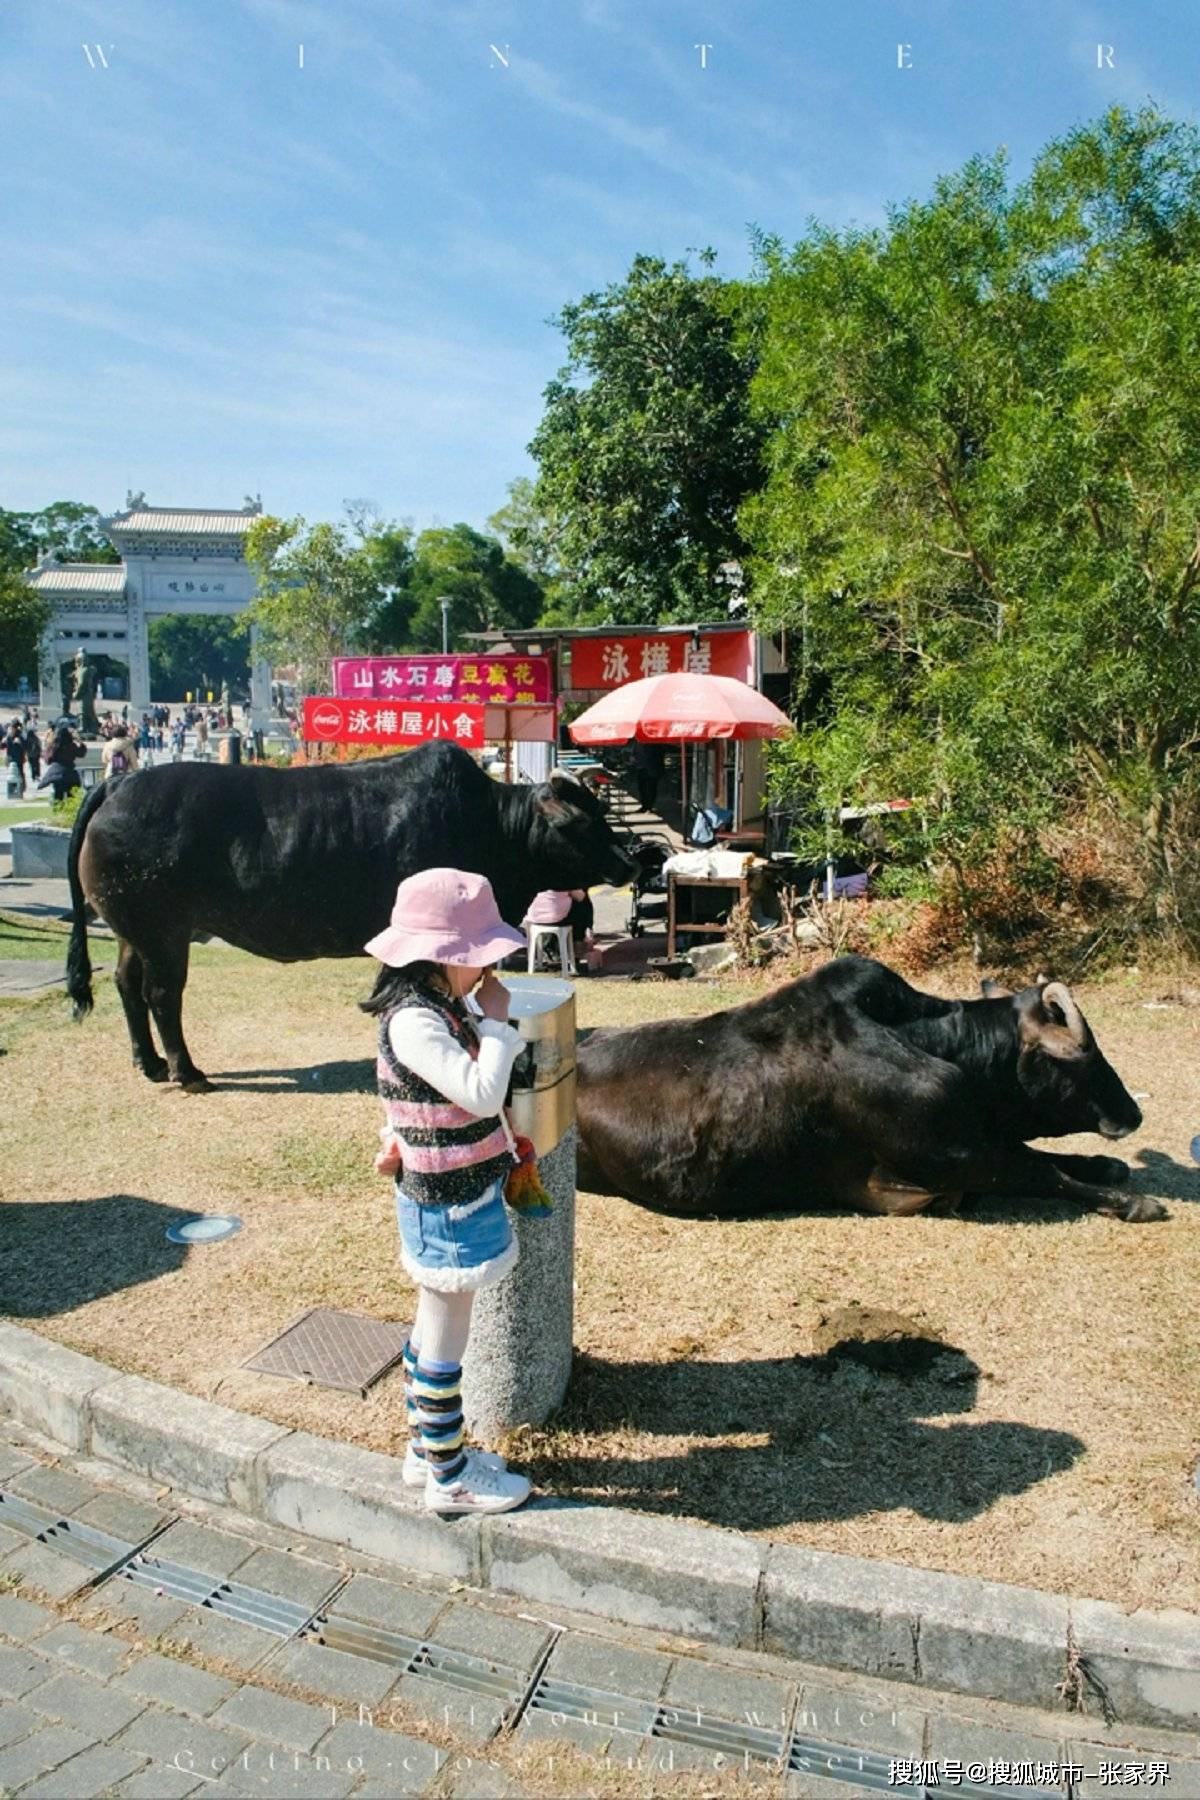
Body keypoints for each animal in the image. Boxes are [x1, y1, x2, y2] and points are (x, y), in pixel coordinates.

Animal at [65, 738, 633, 1087]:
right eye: (579, 824)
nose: (631, 859)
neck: (491, 825)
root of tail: (119, 784)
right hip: (164, 932)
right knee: (161, 994)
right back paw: (186, 1072)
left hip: (134, 932)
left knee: (125, 983)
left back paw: (150, 1063)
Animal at [575, 957, 1165, 1224]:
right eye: (1083, 1061)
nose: (1132, 1114)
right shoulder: (955, 1158)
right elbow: (1043, 1171)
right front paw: (1135, 1201)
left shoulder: (975, 1143)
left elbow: (1047, 1157)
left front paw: (1107, 1166)